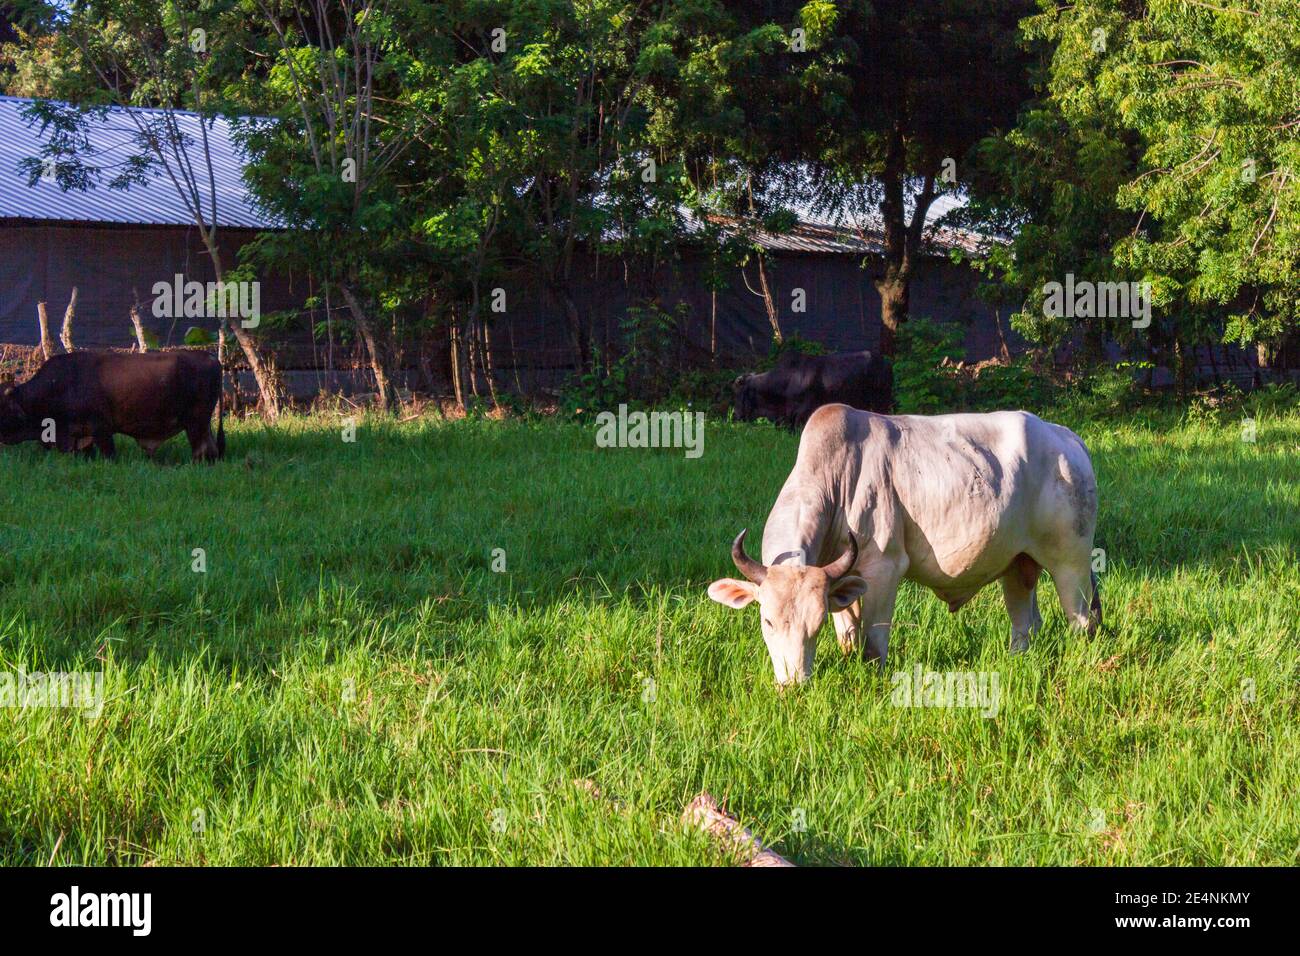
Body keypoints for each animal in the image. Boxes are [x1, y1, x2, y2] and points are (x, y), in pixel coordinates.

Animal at [0, 348, 224, 463]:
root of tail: (211, 357)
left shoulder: (101, 428)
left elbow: (109, 454)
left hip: (196, 424)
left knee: (203, 450)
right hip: (202, 425)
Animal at [707, 403, 1102, 686]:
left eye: (815, 624)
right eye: (767, 620)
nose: (793, 685)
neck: (837, 480)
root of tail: (1066, 438)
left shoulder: (884, 570)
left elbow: (872, 645)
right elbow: (848, 639)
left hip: (1072, 564)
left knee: (1081, 621)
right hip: (1018, 563)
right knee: (1026, 623)